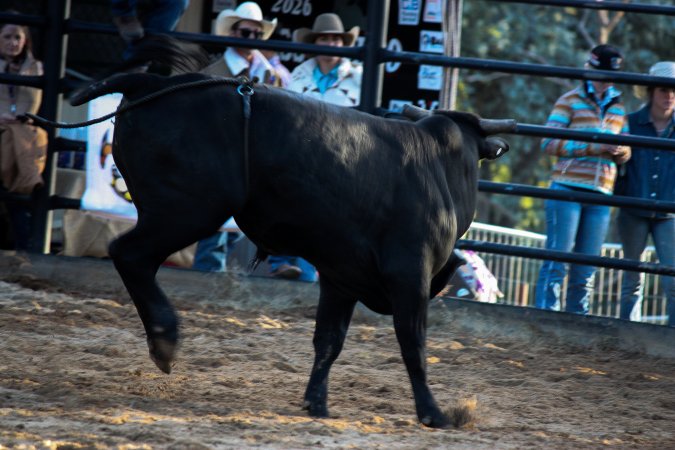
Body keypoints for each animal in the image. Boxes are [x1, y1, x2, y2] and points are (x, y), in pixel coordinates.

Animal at [64, 43, 514, 428]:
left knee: (132, 257)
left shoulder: (340, 277)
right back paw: (164, 339)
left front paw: (316, 402)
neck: (440, 165)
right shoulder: (411, 275)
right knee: (130, 254)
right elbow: (413, 345)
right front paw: (433, 413)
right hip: (187, 210)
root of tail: (151, 84)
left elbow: (329, 341)